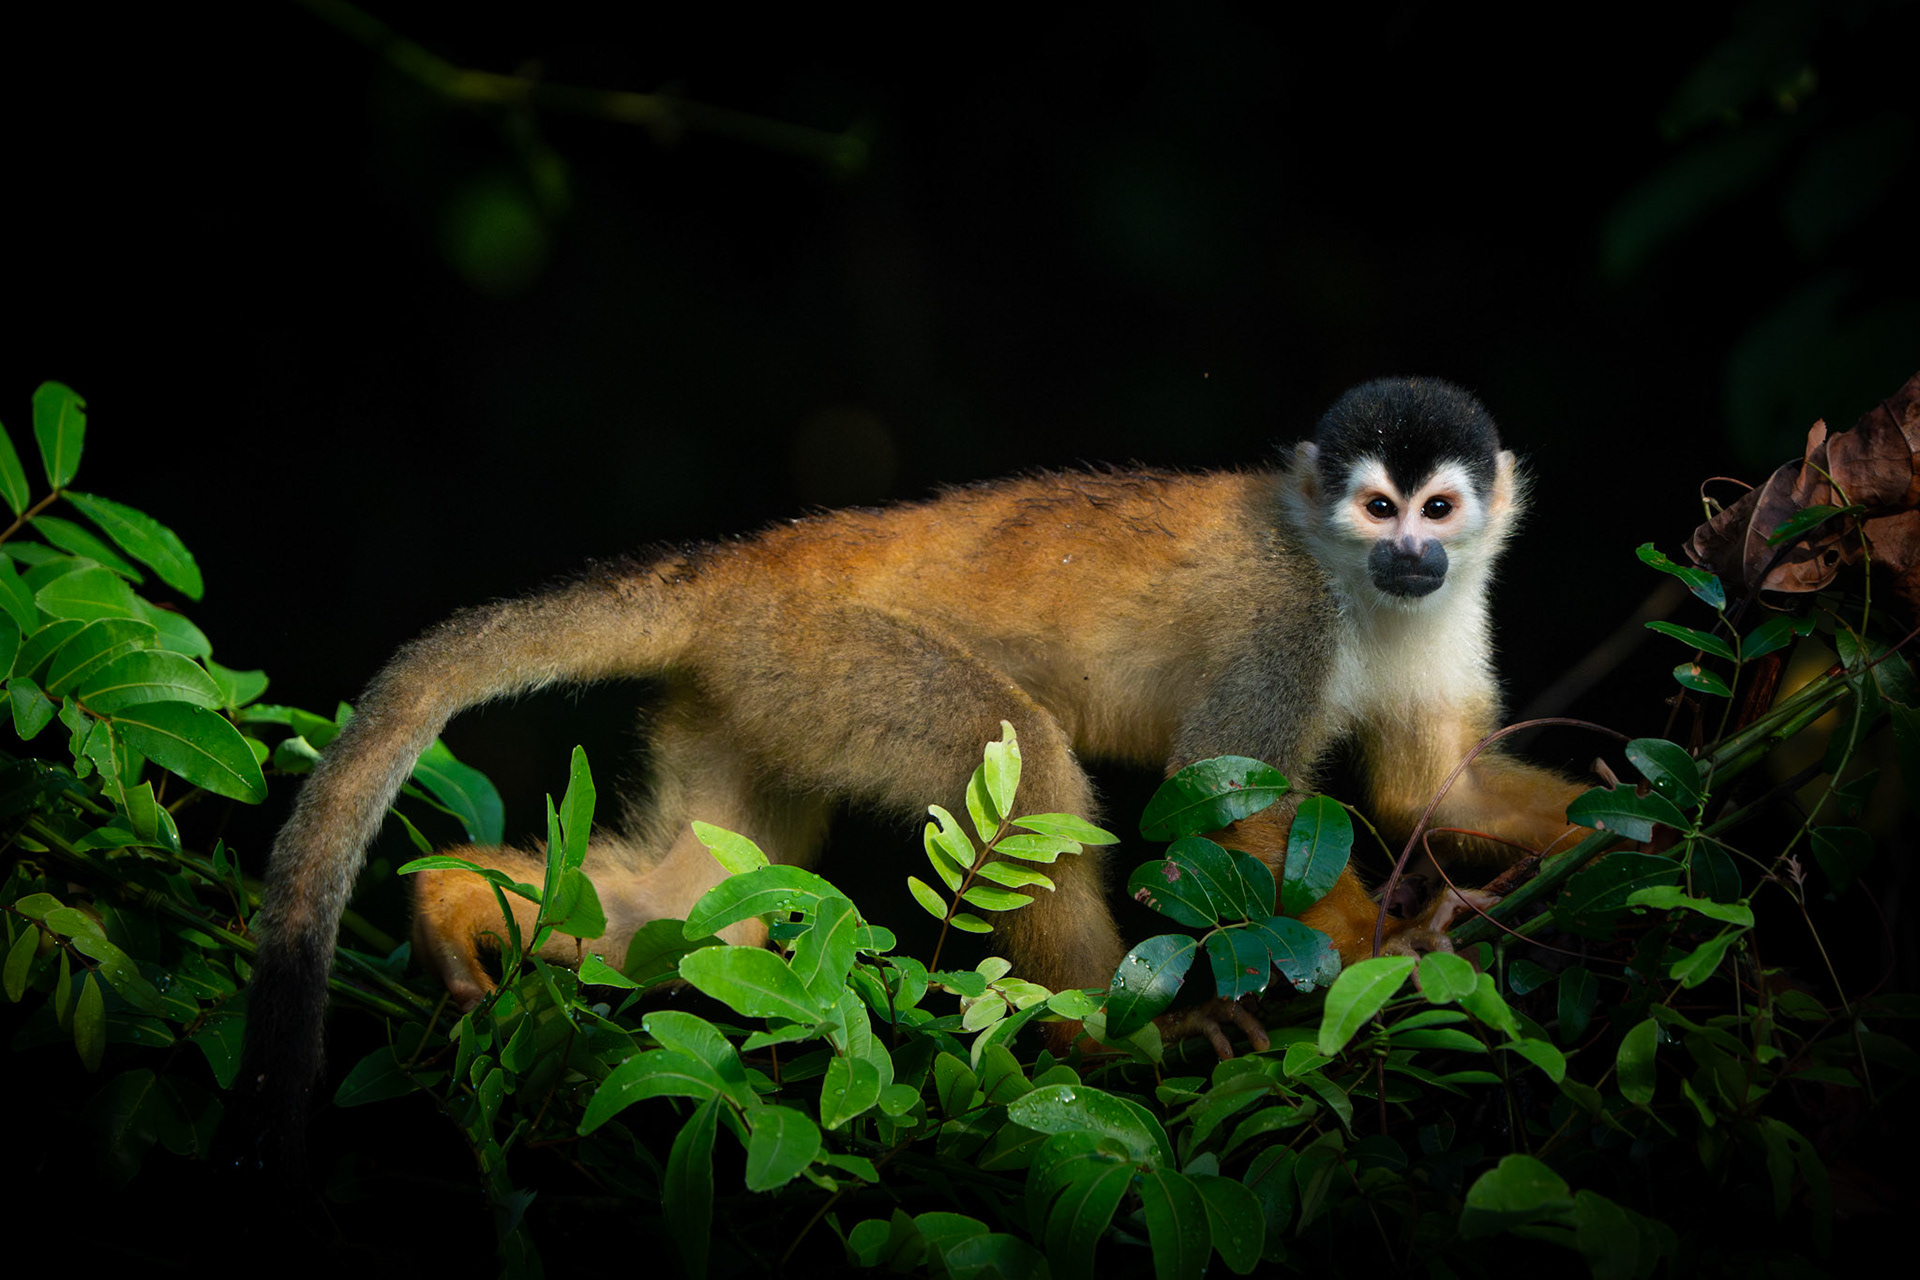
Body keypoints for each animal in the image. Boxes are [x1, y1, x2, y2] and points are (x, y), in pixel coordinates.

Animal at [241, 376, 1587, 1161]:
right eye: (1375, 508)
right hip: (836, 661)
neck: (1357, 586)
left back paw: (449, 901)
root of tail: (733, 570)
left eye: (1438, 508)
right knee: (1027, 762)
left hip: (755, 694)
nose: (1412, 553)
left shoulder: (1453, 610)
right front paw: (1384, 947)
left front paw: (1613, 832)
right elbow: (1228, 796)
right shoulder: (1284, 618)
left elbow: (1434, 793)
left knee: (698, 900)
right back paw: (1105, 1037)